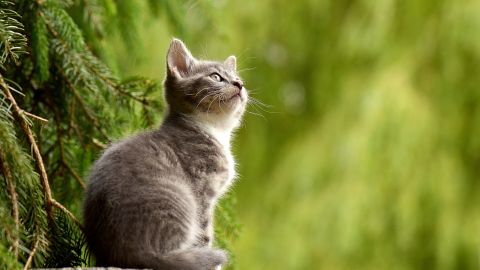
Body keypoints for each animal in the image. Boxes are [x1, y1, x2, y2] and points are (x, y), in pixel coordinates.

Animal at [83, 38, 248, 270]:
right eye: (216, 76)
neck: (213, 129)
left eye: (238, 79)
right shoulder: (202, 191)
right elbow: (205, 234)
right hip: (182, 199)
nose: (239, 85)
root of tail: (128, 254)